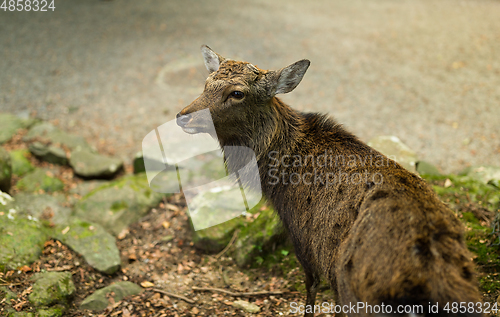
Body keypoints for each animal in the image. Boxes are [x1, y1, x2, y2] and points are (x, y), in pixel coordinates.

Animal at [176, 45, 484, 314]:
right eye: (206, 83)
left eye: (237, 92)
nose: (182, 116)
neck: (279, 181)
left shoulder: (307, 241)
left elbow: (311, 289)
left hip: (358, 289)